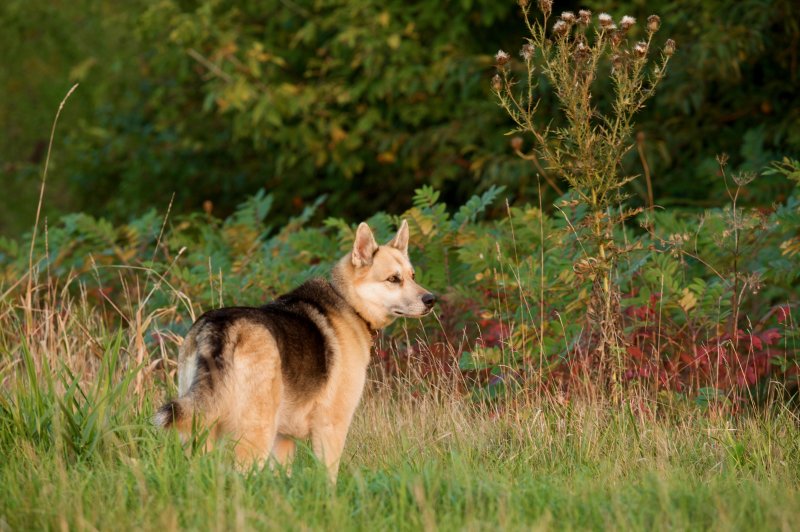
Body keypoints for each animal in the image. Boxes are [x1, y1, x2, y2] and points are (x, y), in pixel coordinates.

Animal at [153, 220, 434, 482]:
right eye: (393, 279)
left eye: (412, 275)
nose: (431, 299)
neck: (348, 302)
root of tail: (221, 327)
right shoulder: (331, 427)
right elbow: (328, 479)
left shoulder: (284, 439)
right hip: (255, 435)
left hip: (201, 432)